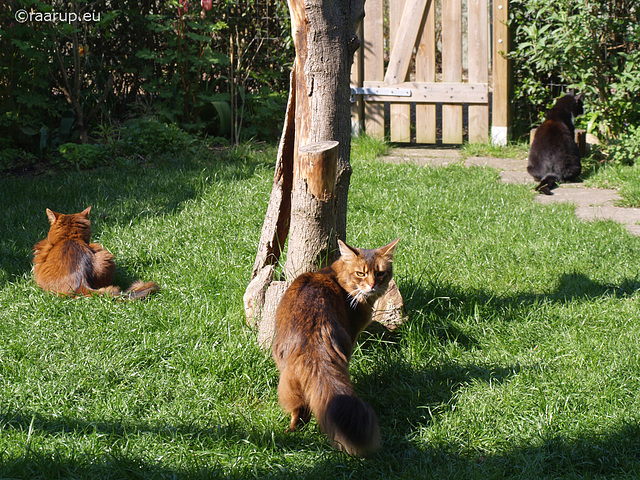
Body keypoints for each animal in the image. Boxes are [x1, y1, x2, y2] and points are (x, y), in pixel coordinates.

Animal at [272, 238, 398, 456]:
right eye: (361, 273)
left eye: (380, 273)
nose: (373, 285)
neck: (337, 277)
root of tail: (311, 336)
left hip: (286, 369)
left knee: (299, 408)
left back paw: (292, 431)